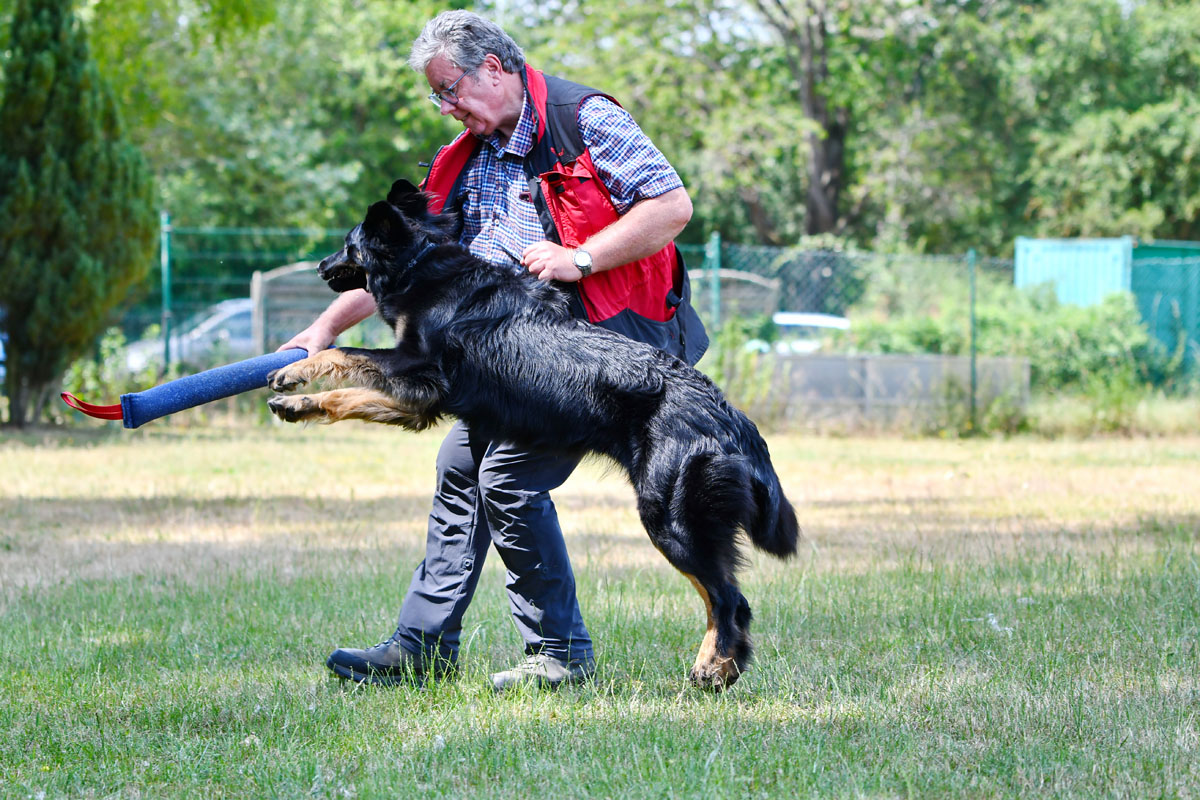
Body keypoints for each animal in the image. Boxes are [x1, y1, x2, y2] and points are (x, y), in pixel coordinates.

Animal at [267, 178, 801, 690]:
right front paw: (297, 400)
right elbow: (345, 389)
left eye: (348, 245)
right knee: (725, 599)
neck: (422, 262)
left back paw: (713, 669)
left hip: (669, 519)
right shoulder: (420, 400)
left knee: (729, 599)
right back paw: (722, 668)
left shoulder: (419, 375)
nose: (320, 266)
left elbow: (343, 356)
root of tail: (732, 417)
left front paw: (292, 378)